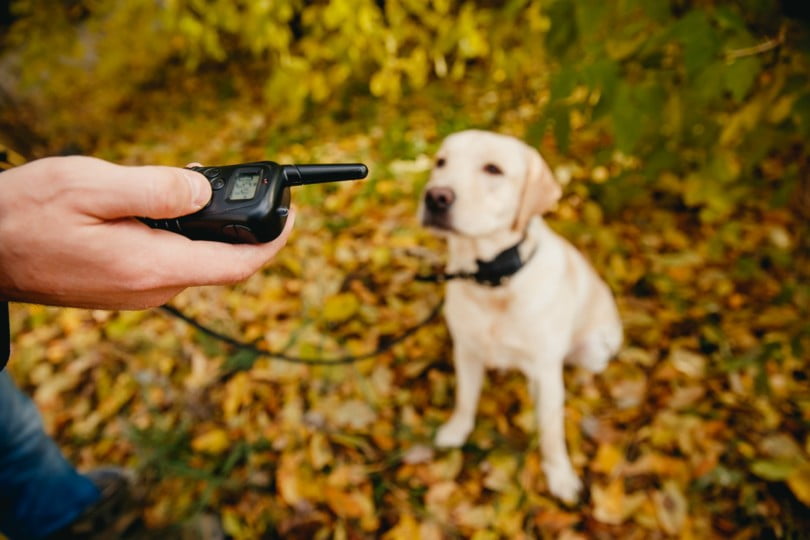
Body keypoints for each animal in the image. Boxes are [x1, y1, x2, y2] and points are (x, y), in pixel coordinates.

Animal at [416, 130, 620, 502]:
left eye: (493, 169)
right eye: (441, 162)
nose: (436, 196)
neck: (491, 281)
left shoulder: (546, 371)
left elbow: (552, 433)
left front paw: (560, 476)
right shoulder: (465, 351)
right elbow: (465, 398)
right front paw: (456, 430)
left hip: (597, 346)